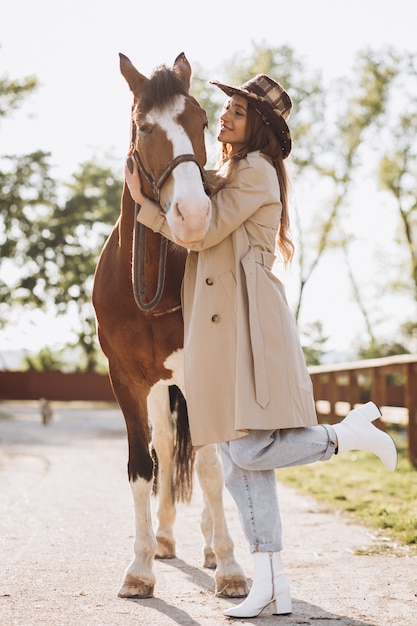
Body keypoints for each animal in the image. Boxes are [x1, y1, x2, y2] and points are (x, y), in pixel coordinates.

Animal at [92, 53, 247, 600]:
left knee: (209, 454)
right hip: (161, 388)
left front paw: (229, 567)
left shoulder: (202, 373)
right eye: (144, 127)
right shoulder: (126, 381)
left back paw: (209, 546)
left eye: (202, 121)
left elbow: (209, 468)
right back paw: (162, 539)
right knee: (164, 445)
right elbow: (144, 466)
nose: (194, 216)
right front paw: (139, 569)